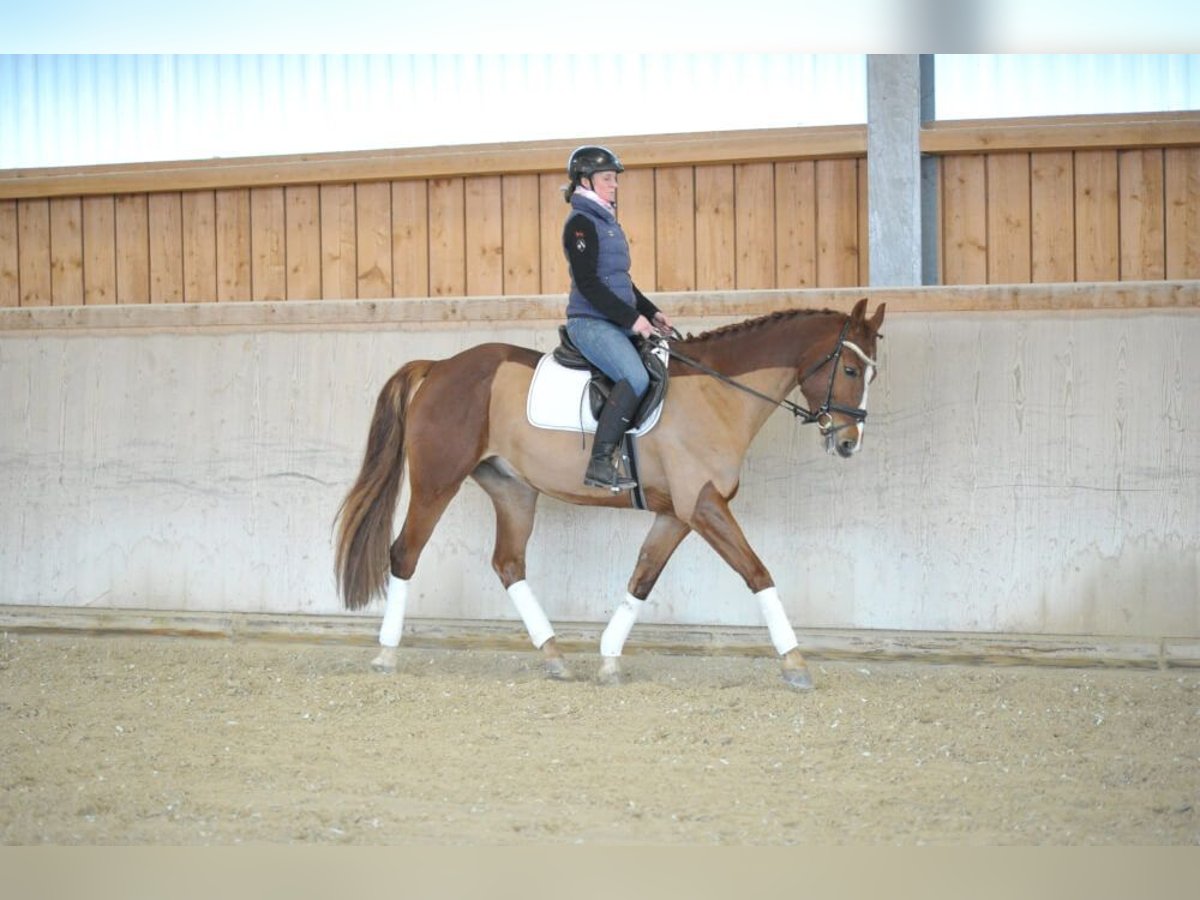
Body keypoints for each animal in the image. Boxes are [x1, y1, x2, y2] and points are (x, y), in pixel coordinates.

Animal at [333, 297, 888, 691]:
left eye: (873, 373)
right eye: (850, 370)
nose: (848, 443)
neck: (717, 393)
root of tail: (441, 365)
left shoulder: (677, 514)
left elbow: (642, 579)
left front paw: (609, 658)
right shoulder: (704, 505)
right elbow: (757, 573)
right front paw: (795, 663)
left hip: (513, 491)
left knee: (508, 564)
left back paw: (555, 656)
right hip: (438, 481)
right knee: (405, 554)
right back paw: (385, 653)